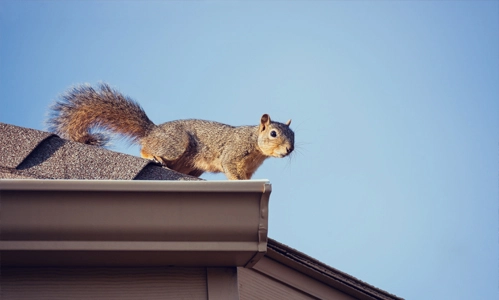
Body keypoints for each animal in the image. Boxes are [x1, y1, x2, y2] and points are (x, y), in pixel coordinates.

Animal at [46, 83, 292, 179]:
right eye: (273, 133)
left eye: (294, 136)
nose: (289, 149)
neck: (255, 143)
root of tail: (153, 131)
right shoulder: (233, 152)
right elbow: (229, 167)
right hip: (176, 145)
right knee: (145, 148)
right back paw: (152, 155)